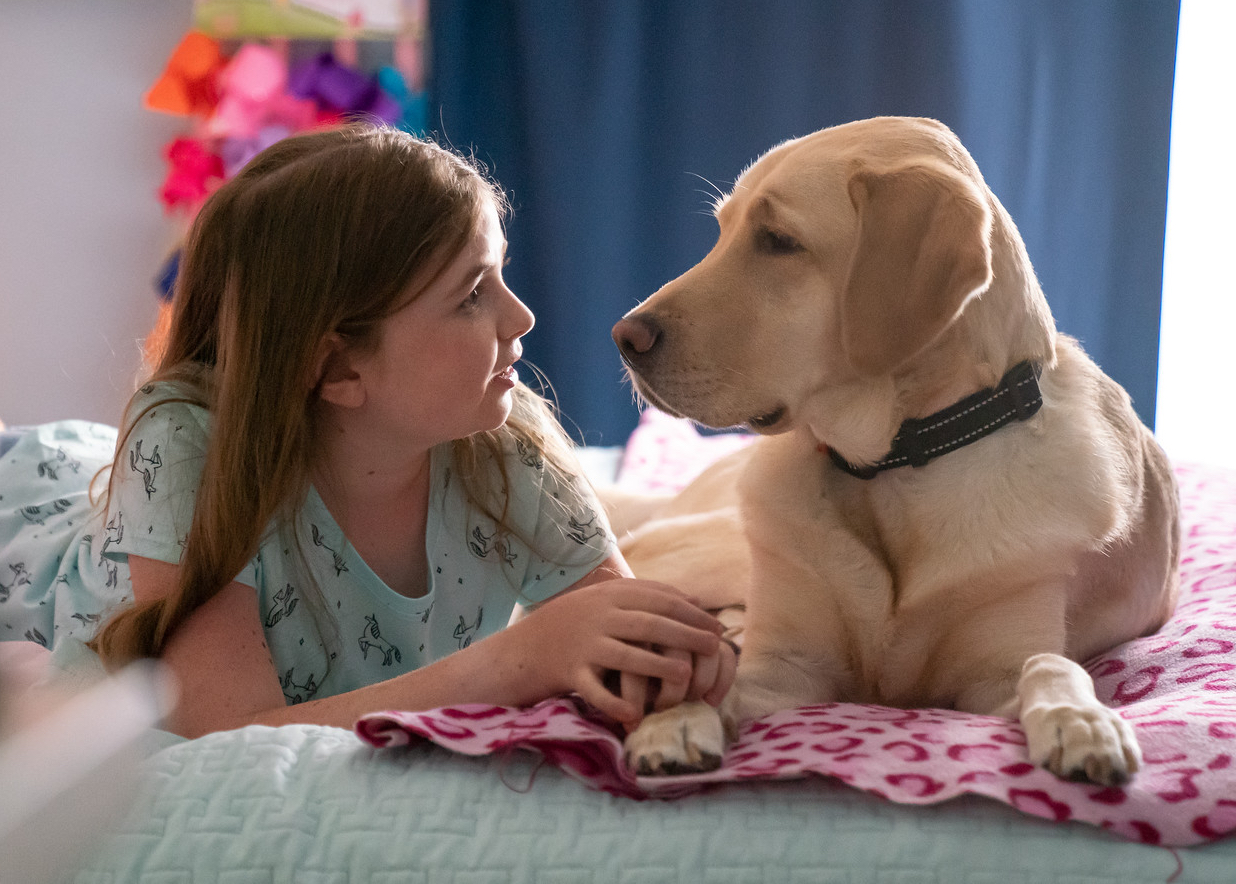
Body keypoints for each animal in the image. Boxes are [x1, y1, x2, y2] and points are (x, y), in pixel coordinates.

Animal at [608, 117, 1176, 786]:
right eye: (722, 233)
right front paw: (673, 719)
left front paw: (1081, 721)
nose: (623, 338)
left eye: (778, 241)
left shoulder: (998, 671)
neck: (890, 465)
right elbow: (719, 676)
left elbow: (1053, 666)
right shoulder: (786, 665)